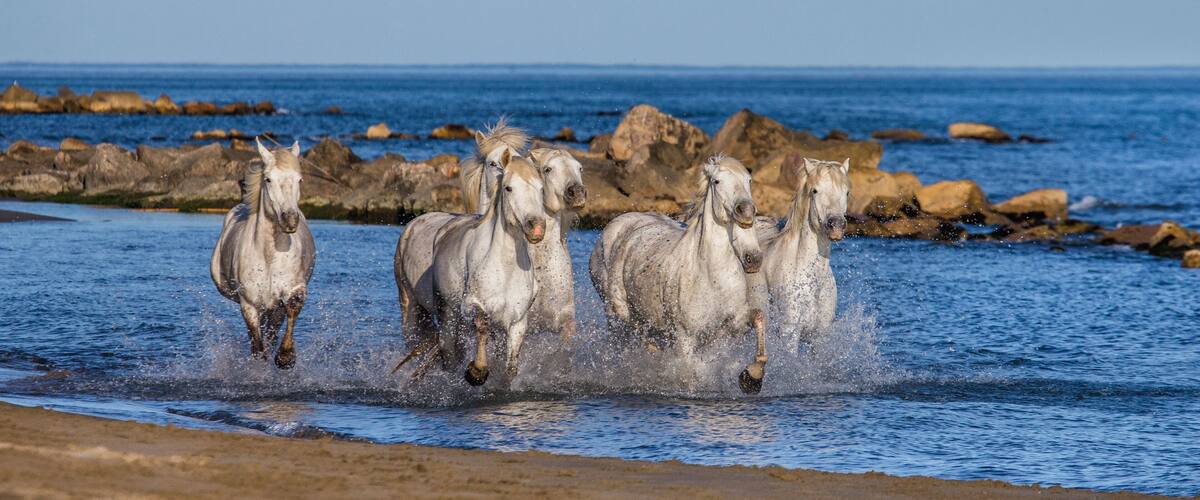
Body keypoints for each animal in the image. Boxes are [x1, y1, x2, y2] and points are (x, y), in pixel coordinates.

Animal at [211, 138, 316, 369]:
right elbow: (257, 346)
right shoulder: (249, 304)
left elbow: (292, 308)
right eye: (268, 179)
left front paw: (285, 357)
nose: (290, 220)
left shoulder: (288, 294)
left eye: (300, 179)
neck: (269, 257)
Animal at [395, 150, 548, 386]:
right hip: (430, 313)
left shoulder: (518, 321)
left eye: (541, 188)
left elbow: (511, 365)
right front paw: (477, 372)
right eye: (508, 188)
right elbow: (482, 325)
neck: (504, 268)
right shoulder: (472, 306)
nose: (537, 228)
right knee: (447, 355)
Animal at [589, 155, 769, 394]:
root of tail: (615, 225)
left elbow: (758, 317)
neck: (711, 277)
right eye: (717, 181)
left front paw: (752, 377)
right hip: (618, 318)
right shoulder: (686, 337)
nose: (746, 212)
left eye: (749, 180)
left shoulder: (731, 326)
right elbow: (689, 375)